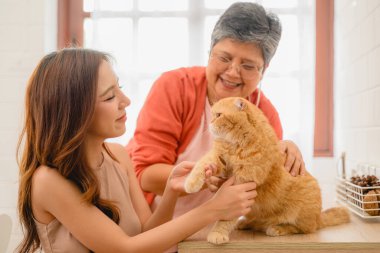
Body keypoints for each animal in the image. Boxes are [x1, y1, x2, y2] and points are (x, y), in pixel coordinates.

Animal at [185, 97, 350, 245]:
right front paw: (190, 183)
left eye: (218, 115)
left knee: (303, 229)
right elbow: (201, 165)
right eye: (213, 114)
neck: (236, 145)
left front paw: (217, 233)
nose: (210, 123)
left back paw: (277, 228)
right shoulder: (218, 157)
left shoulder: (242, 185)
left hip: (300, 214)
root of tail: (318, 217)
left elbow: (226, 217)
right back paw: (245, 223)